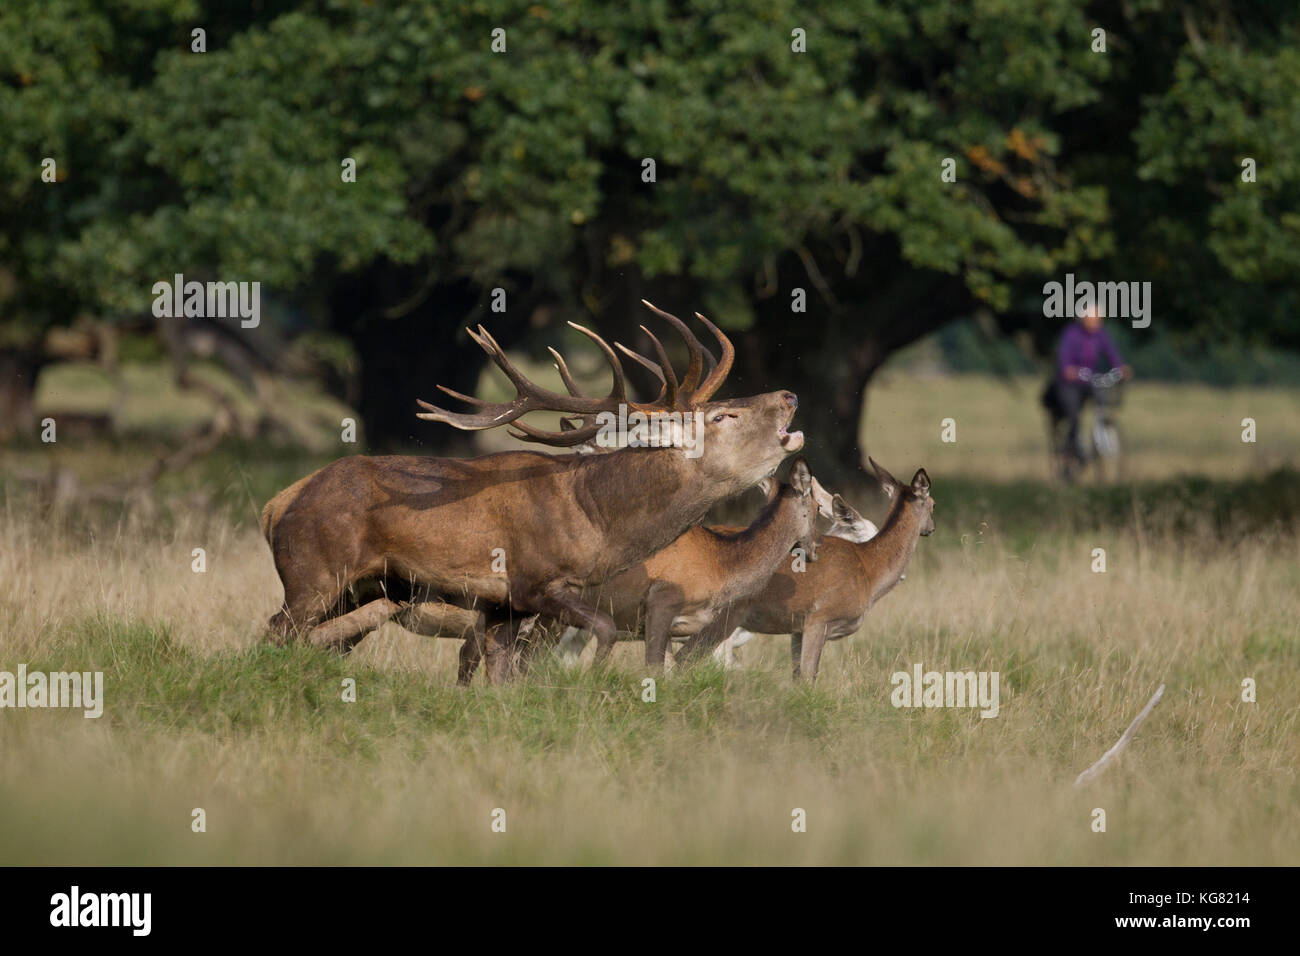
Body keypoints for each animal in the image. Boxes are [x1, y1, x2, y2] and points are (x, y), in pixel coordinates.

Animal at [260, 301, 804, 684]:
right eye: (723, 415)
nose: (789, 394)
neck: (599, 524)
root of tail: (276, 504)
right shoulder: (535, 584)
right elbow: (597, 634)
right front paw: (590, 683)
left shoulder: (505, 604)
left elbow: (501, 674)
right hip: (314, 574)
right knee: (275, 632)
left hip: (364, 588)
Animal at [674, 458, 933, 681]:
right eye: (933, 504)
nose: (903, 576)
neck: (868, 568)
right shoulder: (818, 618)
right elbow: (808, 675)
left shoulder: (797, 628)